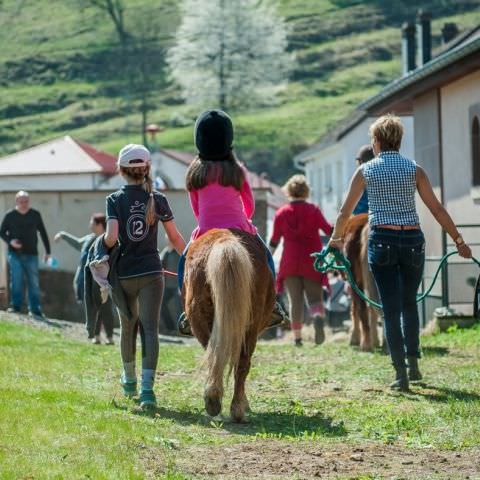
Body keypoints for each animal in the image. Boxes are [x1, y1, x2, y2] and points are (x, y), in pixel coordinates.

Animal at [183, 229, 276, 420]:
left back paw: (214, 400)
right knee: (241, 363)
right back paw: (236, 407)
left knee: (215, 354)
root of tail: (224, 238)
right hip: (250, 327)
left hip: (201, 321)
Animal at [344, 216, 380, 350]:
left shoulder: (354, 282)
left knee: (362, 309)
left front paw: (354, 338)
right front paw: (376, 340)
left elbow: (356, 309)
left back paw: (366, 343)